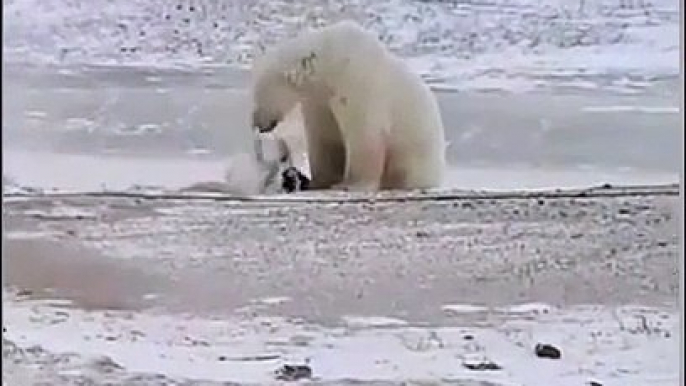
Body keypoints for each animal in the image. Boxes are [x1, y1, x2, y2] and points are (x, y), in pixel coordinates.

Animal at [250, 20, 448, 190]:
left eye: (257, 97)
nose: (257, 124)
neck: (332, 62)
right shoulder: (319, 101)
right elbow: (325, 138)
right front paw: (318, 181)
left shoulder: (359, 86)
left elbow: (364, 137)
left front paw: (350, 185)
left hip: (418, 158)